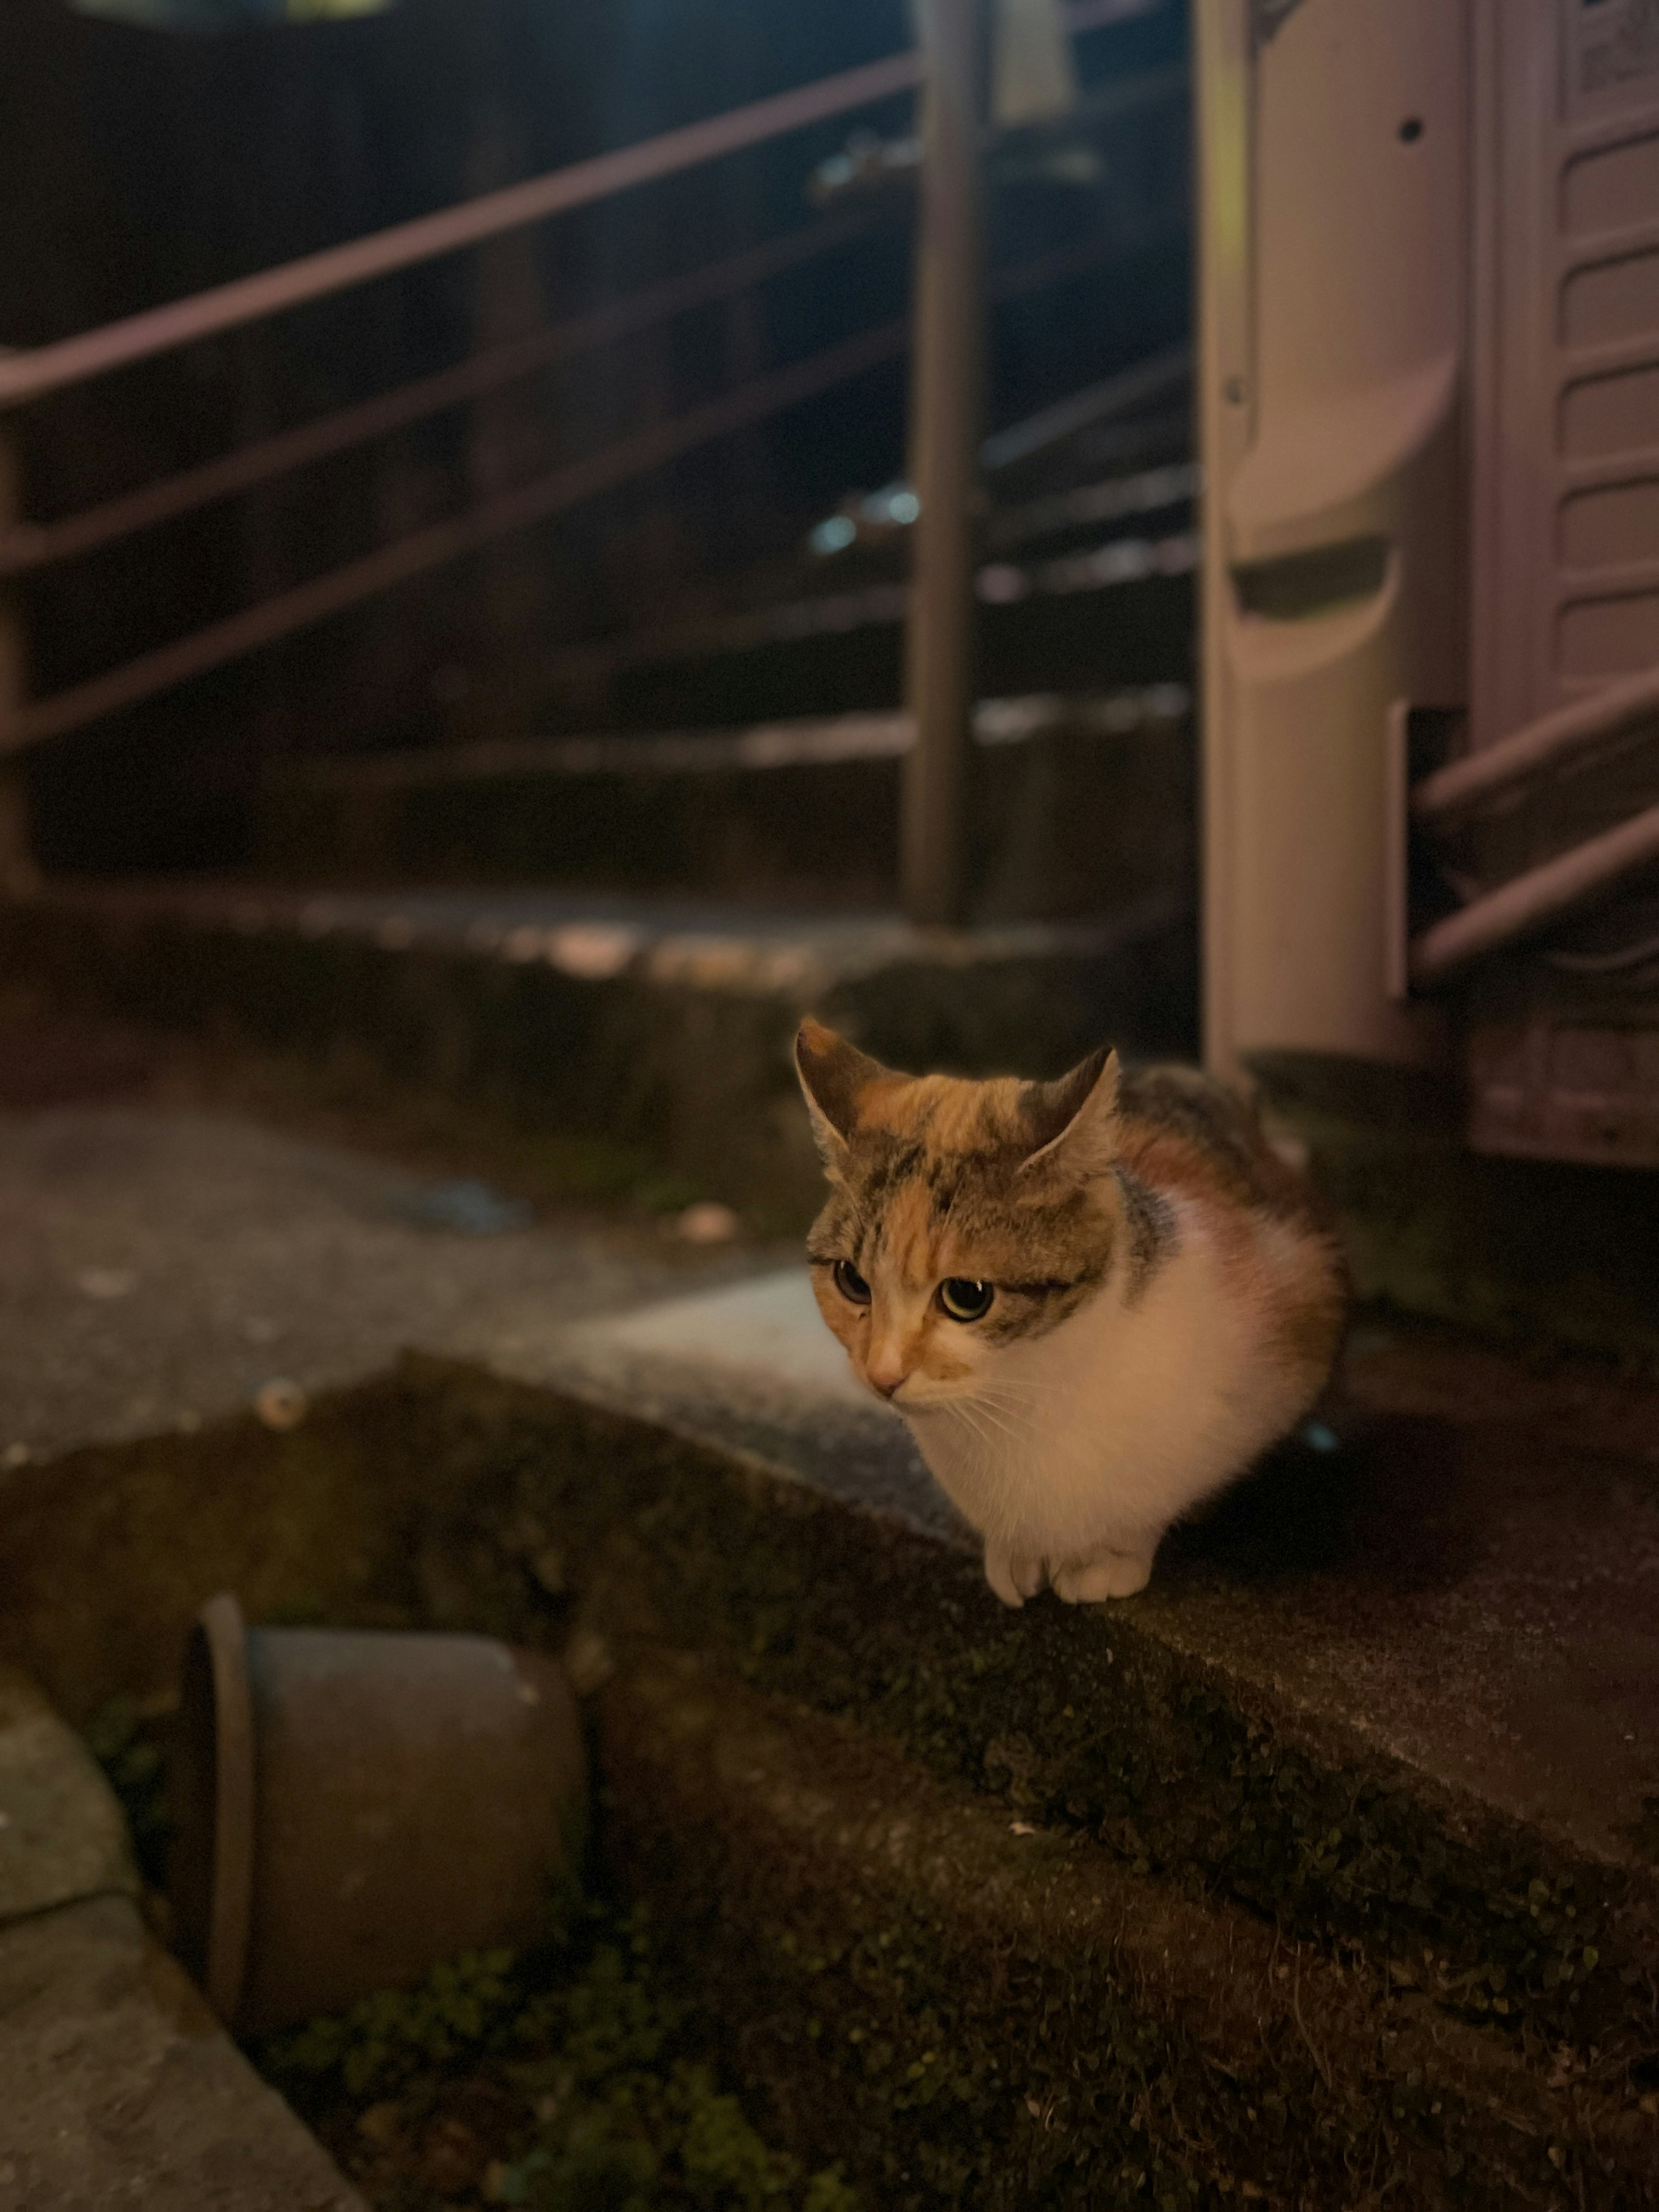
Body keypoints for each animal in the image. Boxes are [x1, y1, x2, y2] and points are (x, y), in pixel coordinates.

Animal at [796, 1017, 1354, 1610]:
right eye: (853, 1281)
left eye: (967, 1295)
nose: (883, 1375)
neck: (1023, 1395)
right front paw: (1013, 1553)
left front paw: (1110, 1556)